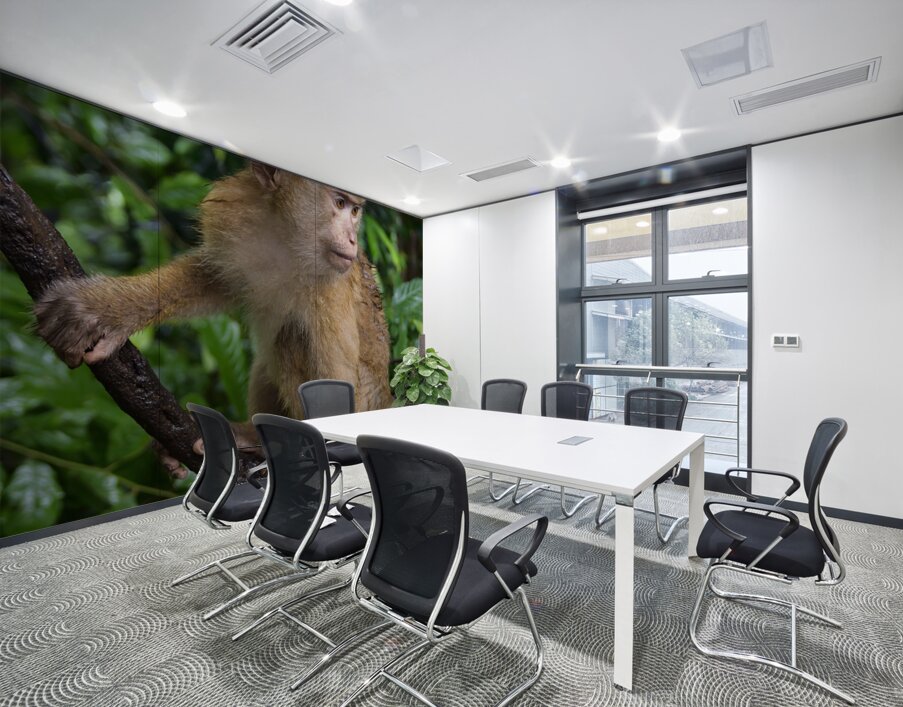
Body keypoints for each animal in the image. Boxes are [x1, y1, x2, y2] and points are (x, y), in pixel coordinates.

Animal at [33, 162, 393, 465]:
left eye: (354, 209)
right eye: (340, 203)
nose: (353, 238)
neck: (289, 243)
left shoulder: (330, 288)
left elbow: (336, 389)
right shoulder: (237, 215)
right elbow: (211, 278)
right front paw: (107, 311)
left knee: (289, 339)